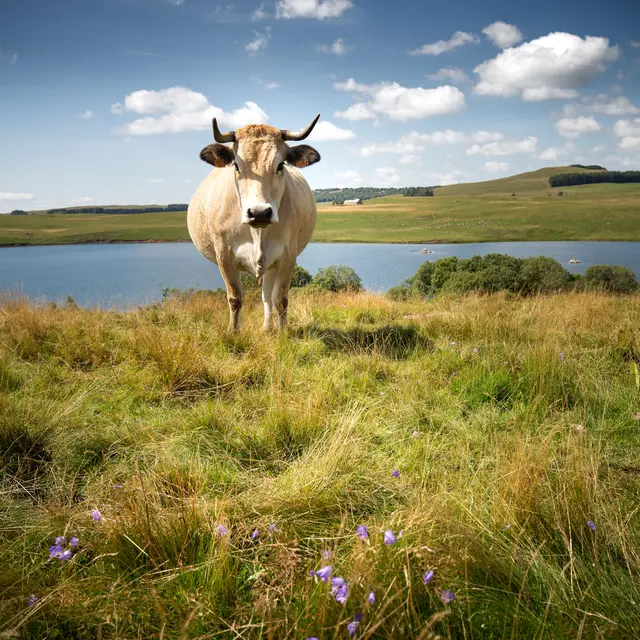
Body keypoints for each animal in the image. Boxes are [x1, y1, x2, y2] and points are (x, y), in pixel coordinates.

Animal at [187, 115, 321, 333]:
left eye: (280, 165)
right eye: (236, 166)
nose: (259, 213)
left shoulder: (287, 255)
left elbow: (280, 299)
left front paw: (283, 334)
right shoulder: (224, 255)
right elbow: (235, 298)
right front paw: (233, 332)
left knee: (267, 296)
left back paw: (267, 327)